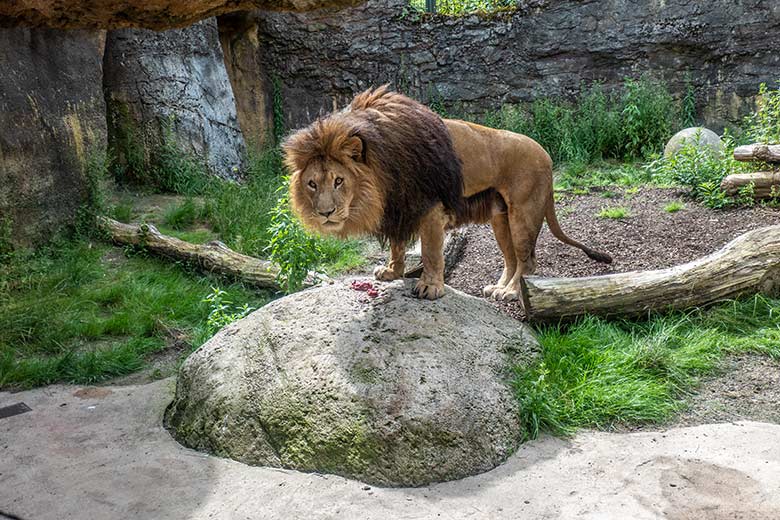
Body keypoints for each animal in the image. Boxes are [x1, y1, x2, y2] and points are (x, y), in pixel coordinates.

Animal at [284, 86, 612, 300]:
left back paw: (510, 293)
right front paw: (392, 272)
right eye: (312, 184)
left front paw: (430, 287)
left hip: (524, 213)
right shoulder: (400, 207)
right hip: (501, 218)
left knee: (527, 261)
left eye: (339, 181)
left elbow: (430, 252)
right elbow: (397, 246)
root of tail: (546, 155)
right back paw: (498, 288)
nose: (325, 213)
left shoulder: (428, 207)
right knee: (510, 259)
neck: (380, 179)